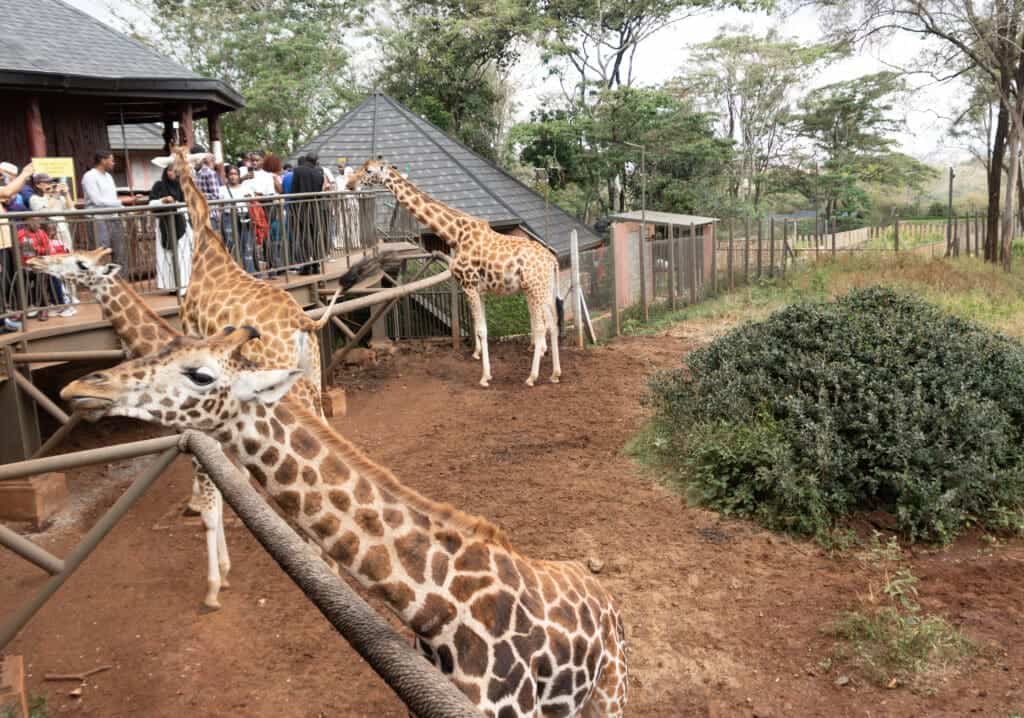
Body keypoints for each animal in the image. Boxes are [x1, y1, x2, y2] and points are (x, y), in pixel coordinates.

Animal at [26, 247, 369, 610]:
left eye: (79, 263)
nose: (34, 262)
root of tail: (306, 322)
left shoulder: (201, 440)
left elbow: (210, 511)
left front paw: (215, 585)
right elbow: (221, 495)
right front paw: (225, 564)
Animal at [348, 160, 563, 388]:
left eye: (368, 170)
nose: (350, 184)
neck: (455, 235)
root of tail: (552, 260)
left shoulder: (468, 284)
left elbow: (481, 330)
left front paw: (484, 377)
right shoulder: (479, 289)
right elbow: (482, 327)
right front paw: (484, 368)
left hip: (534, 289)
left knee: (540, 326)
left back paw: (532, 377)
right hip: (543, 289)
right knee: (553, 323)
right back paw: (555, 373)